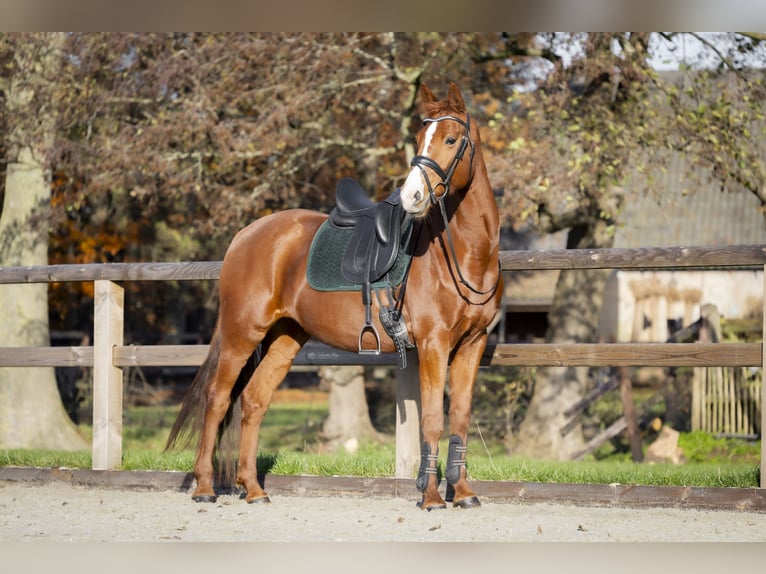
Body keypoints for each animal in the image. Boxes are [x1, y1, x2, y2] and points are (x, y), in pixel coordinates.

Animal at [166, 83, 504, 510]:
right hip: (242, 334)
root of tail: (246, 235)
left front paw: (462, 493)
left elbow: (459, 416)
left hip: (285, 337)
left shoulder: (472, 344)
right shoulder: (433, 344)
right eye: (418, 138)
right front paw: (430, 497)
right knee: (218, 399)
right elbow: (432, 420)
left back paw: (254, 489)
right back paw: (206, 488)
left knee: (254, 402)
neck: (464, 253)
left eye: (451, 139)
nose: (412, 195)